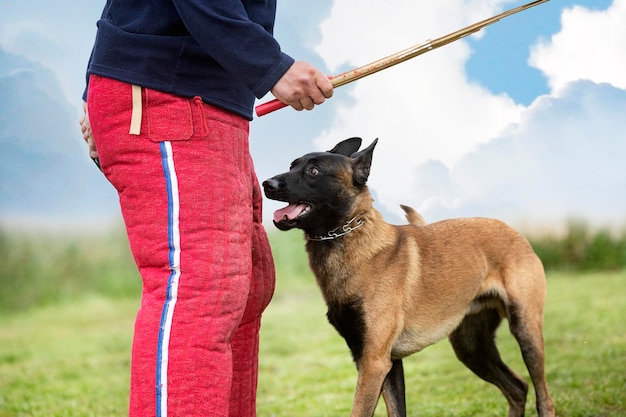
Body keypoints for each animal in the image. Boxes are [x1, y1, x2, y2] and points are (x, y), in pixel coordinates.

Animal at [260, 137, 552, 416]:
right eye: (292, 165)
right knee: (517, 388)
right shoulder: (383, 362)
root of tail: (513, 230)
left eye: (313, 171)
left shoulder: (374, 363)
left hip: (525, 331)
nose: (266, 184)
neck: (350, 236)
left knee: (542, 396)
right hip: (471, 346)